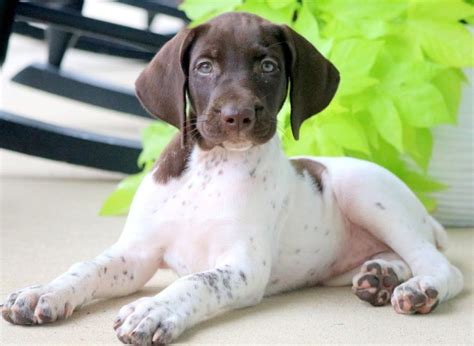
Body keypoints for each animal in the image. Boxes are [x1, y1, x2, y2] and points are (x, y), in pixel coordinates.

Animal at [1, 12, 462, 344]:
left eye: (269, 66)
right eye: (204, 66)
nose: (236, 116)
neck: (211, 168)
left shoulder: (242, 267)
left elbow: (196, 282)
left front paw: (154, 310)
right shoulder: (136, 255)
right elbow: (87, 268)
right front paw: (44, 291)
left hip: (366, 194)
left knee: (440, 264)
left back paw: (420, 289)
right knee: (403, 256)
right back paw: (380, 275)